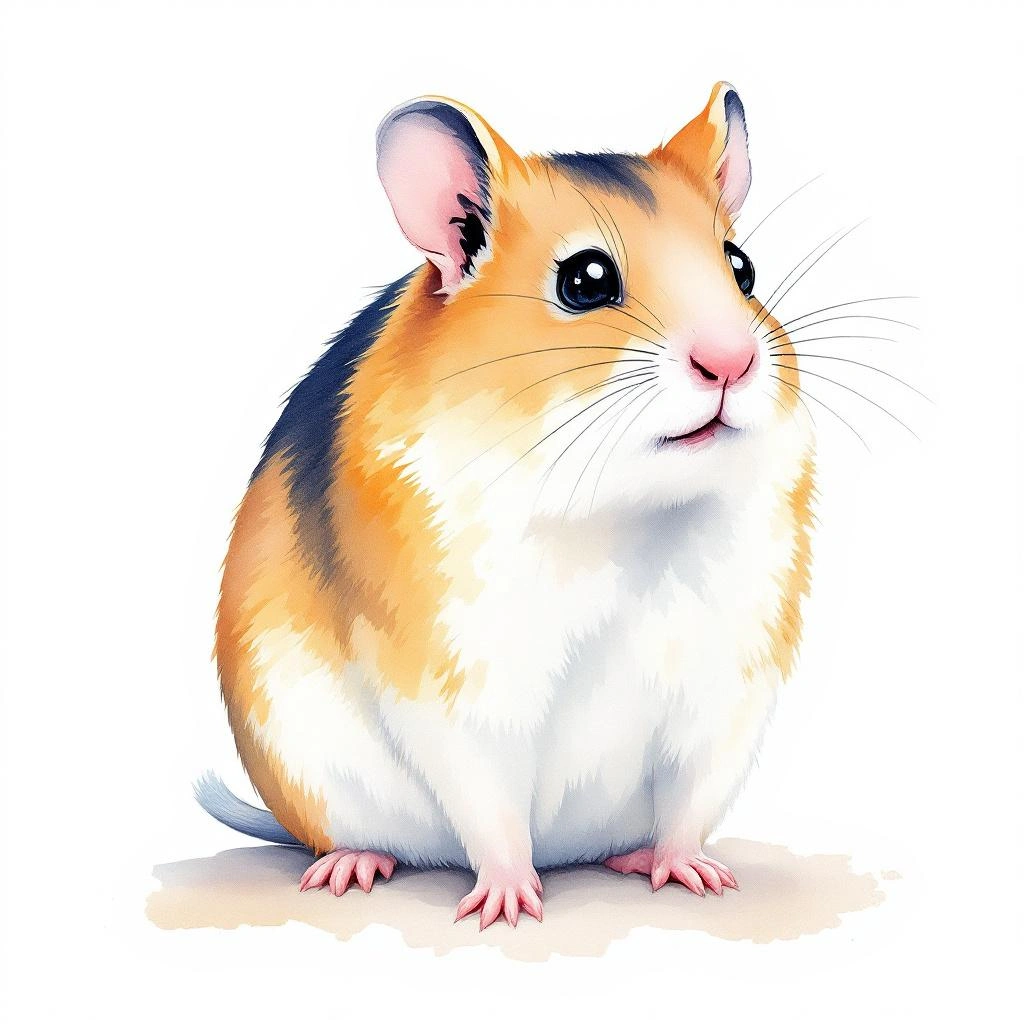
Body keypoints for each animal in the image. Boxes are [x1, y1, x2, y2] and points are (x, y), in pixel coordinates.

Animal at [197, 82, 815, 929]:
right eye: (585, 280)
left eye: (742, 267)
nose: (732, 361)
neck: (623, 508)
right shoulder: (459, 686)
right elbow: (490, 805)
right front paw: (506, 908)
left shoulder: (727, 691)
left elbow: (688, 802)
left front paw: (699, 876)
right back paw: (353, 868)